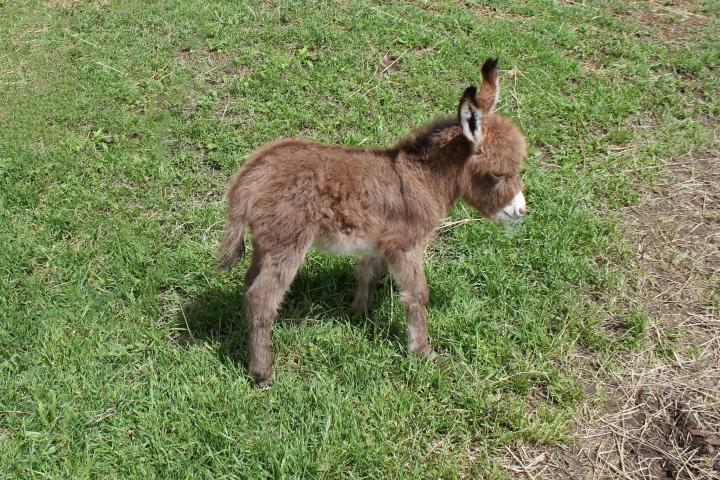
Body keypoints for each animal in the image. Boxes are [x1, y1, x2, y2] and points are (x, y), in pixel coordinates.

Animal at [217, 58, 524, 386]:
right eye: (497, 174)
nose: (520, 211)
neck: (423, 179)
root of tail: (248, 178)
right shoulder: (405, 245)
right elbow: (416, 295)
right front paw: (422, 351)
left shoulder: (378, 242)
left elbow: (368, 274)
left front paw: (358, 313)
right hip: (287, 243)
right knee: (262, 299)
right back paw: (263, 373)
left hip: (265, 244)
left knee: (249, 286)